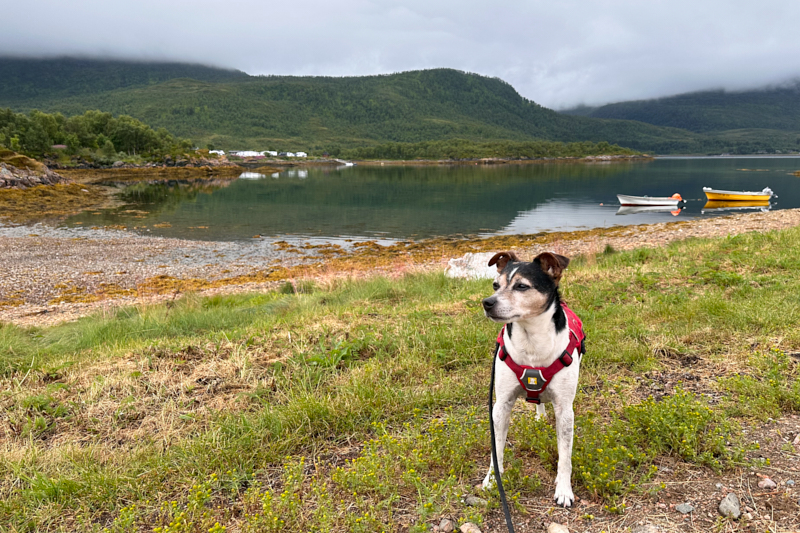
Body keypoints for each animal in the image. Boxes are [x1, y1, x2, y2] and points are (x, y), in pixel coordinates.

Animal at [481, 251, 585, 507]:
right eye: (495, 285)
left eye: (521, 286)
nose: (487, 302)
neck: (531, 341)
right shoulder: (501, 405)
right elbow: (497, 448)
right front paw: (492, 479)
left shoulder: (565, 409)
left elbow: (565, 456)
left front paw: (564, 489)